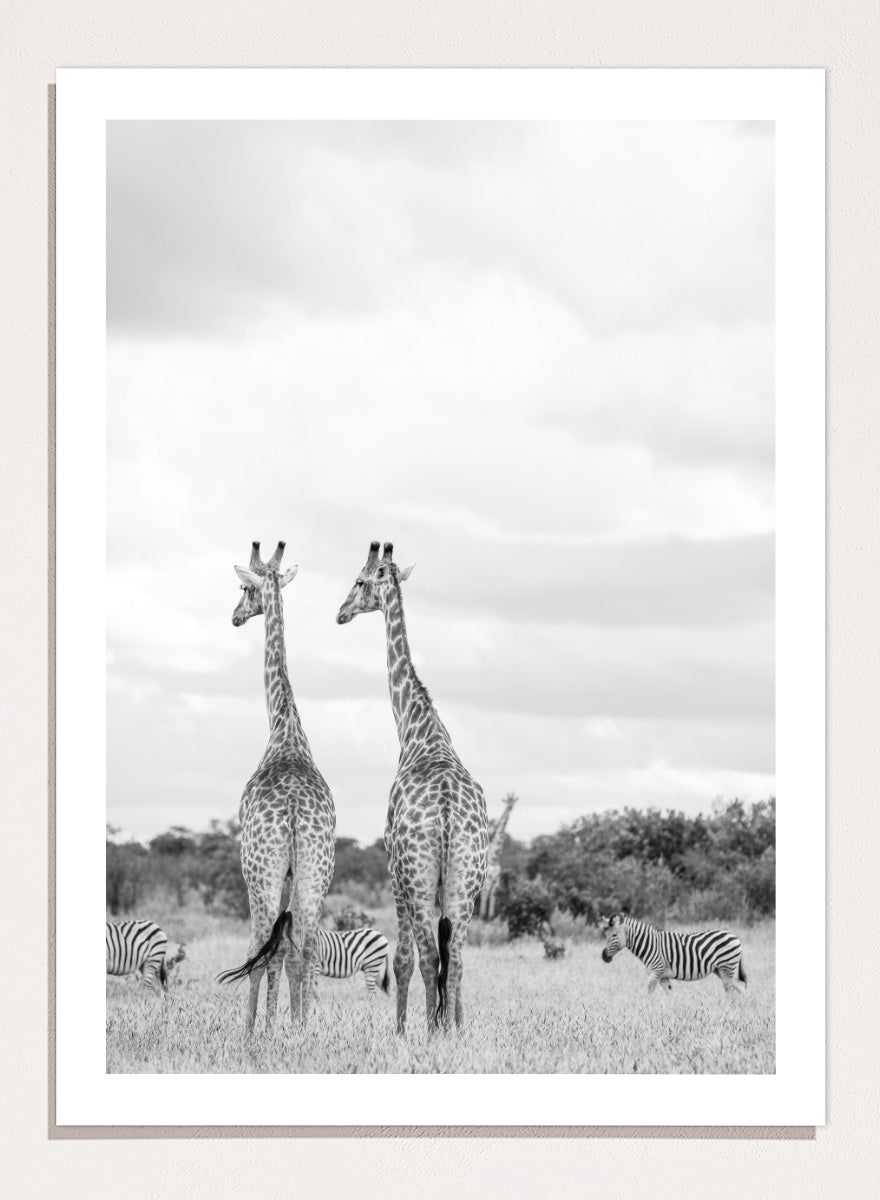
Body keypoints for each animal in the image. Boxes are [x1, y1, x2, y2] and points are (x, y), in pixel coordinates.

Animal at [336, 541, 488, 1033]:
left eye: (360, 581)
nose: (341, 613)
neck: (418, 730)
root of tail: (445, 813)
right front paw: (450, 1024)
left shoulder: (394, 875)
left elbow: (402, 960)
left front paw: (401, 1030)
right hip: (466, 884)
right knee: (455, 960)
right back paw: (451, 1031)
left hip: (419, 883)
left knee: (427, 959)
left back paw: (429, 1031)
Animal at [479, 792, 518, 921]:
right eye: (507, 801)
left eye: (513, 801)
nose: (510, 807)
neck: (494, 858)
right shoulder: (487, 880)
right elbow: (485, 896)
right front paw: (482, 917)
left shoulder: (496, 880)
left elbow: (493, 897)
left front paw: (490, 917)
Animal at [599, 913, 747, 994]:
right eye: (605, 935)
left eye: (614, 935)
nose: (604, 957)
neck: (650, 944)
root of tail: (735, 936)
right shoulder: (663, 977)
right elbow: (670, 994)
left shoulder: (656, 971)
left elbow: (649, 992)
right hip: (720, 970)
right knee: (739, 989)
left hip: (727, 967)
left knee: (732, 990)